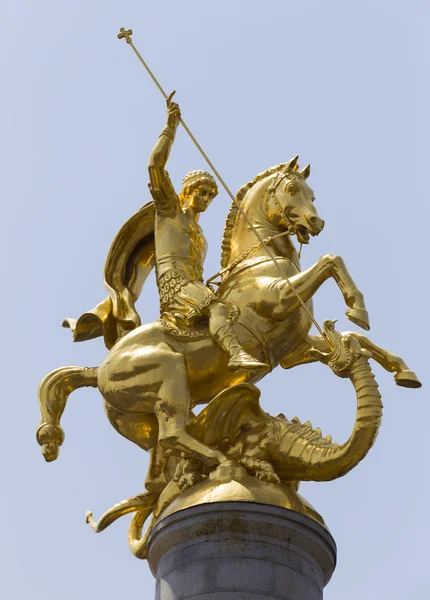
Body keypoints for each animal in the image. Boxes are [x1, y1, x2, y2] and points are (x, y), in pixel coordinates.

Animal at [36, 159, 420, 492]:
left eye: (313, 194)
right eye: (292, 188)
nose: (317, 223)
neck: (261, 259)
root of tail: (98, 369)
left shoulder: (294, 350)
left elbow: (355, 338)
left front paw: (402, 370)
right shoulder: (280, 297)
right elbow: (330, 261)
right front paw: (358, 309)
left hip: (138, 420)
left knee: (162, 454)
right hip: (168, 372)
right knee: (172, 435)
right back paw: (224, 461)